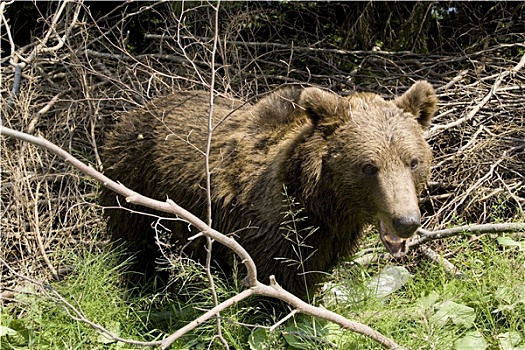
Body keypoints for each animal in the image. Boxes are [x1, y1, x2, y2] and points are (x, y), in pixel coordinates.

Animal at [100, 80, 436, 300]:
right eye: (368, 166)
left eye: (413, 161)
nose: (406, 222)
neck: (323, 207)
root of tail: (135, 111)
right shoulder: (269, 232)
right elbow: (274, 286)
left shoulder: (325, 242)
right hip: (136, 185)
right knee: (136, 247)